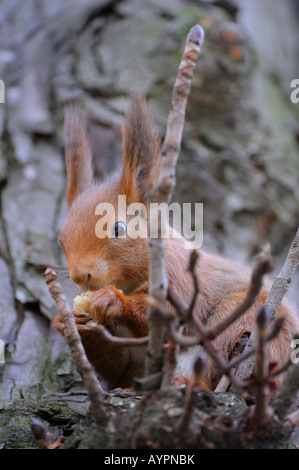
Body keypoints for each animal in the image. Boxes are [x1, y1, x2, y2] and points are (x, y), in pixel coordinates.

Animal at [54, 94, 299, 392]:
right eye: (61, 241)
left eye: (118, 228)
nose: (81, 276)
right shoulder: (123, 356)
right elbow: (113, 364)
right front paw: (68, 322)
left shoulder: (179, 278)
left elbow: (169, 316)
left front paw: (113, 300)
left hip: (245, 314)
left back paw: (190, 383)